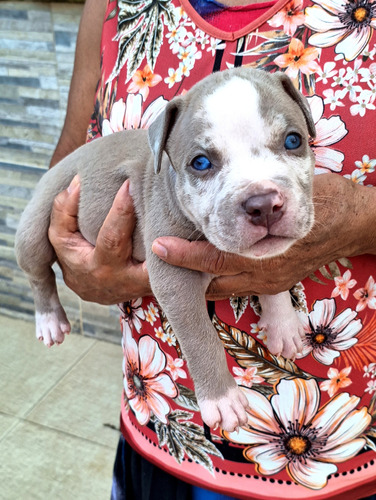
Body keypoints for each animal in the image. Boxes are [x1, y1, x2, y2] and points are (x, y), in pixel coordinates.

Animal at [14, 68, 316, 432]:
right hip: (38, 218)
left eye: (293, 141)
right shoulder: (174, 277)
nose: (264, 204)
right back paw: (49, 321)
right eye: (201, 162)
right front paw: (222, 399)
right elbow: (200, 337)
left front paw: (283, 323)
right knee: (37, 272)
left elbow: (271, 274)